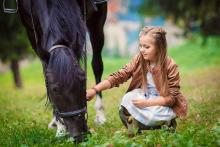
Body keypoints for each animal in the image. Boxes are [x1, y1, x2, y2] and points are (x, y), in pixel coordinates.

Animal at [14, 0, 107, 142]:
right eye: (54, 89)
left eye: (83, 80)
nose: (79, 135)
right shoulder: (31, 31)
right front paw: (60, 128)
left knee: (97, 65)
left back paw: (100, 114)